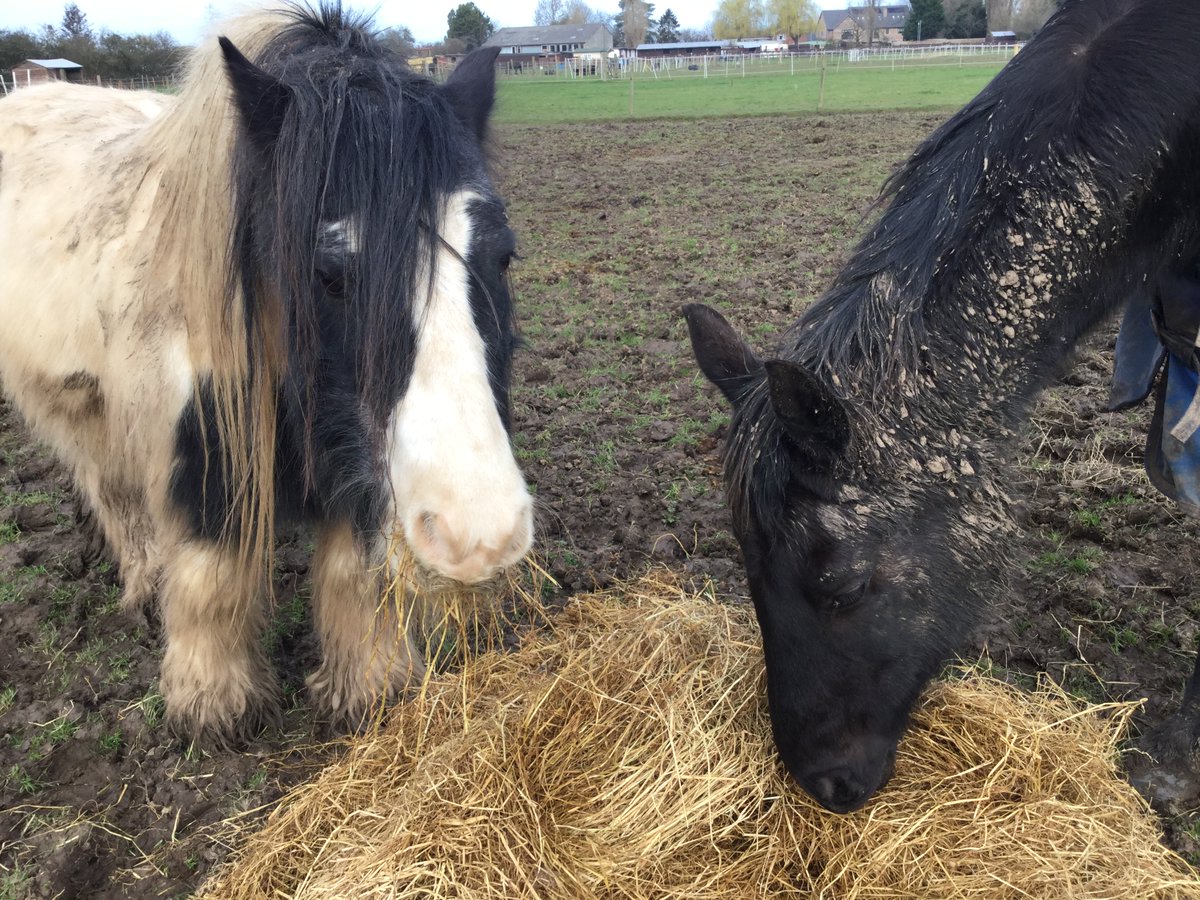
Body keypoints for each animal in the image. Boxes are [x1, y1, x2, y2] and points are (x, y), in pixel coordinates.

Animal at [0, 3, 532, 745]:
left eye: (503, 256)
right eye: (328, 274)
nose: (480, 535)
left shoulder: (355, 461)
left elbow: (354, 576)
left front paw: (369, 687)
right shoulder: (202, 453)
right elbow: (213, 578)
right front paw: (213, 706)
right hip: (80, 411)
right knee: (115, 494)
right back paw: (145, 586)